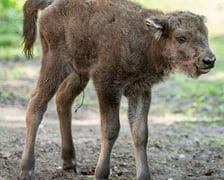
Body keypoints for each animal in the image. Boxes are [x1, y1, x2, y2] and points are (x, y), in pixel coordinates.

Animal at [18, 0, 215, 179]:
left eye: (206, 34)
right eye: (181, 38)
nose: (209, 60)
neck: (147, 39)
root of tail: (51, 5)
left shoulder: (140, 90)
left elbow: (140, 133)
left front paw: (144, 176)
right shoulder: (108, 86)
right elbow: (111, 129)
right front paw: (101, 173)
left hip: (79, 73)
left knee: (63, 99)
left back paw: (69, 162)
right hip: (55, 62)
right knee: (36, 105)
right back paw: (27, 170)